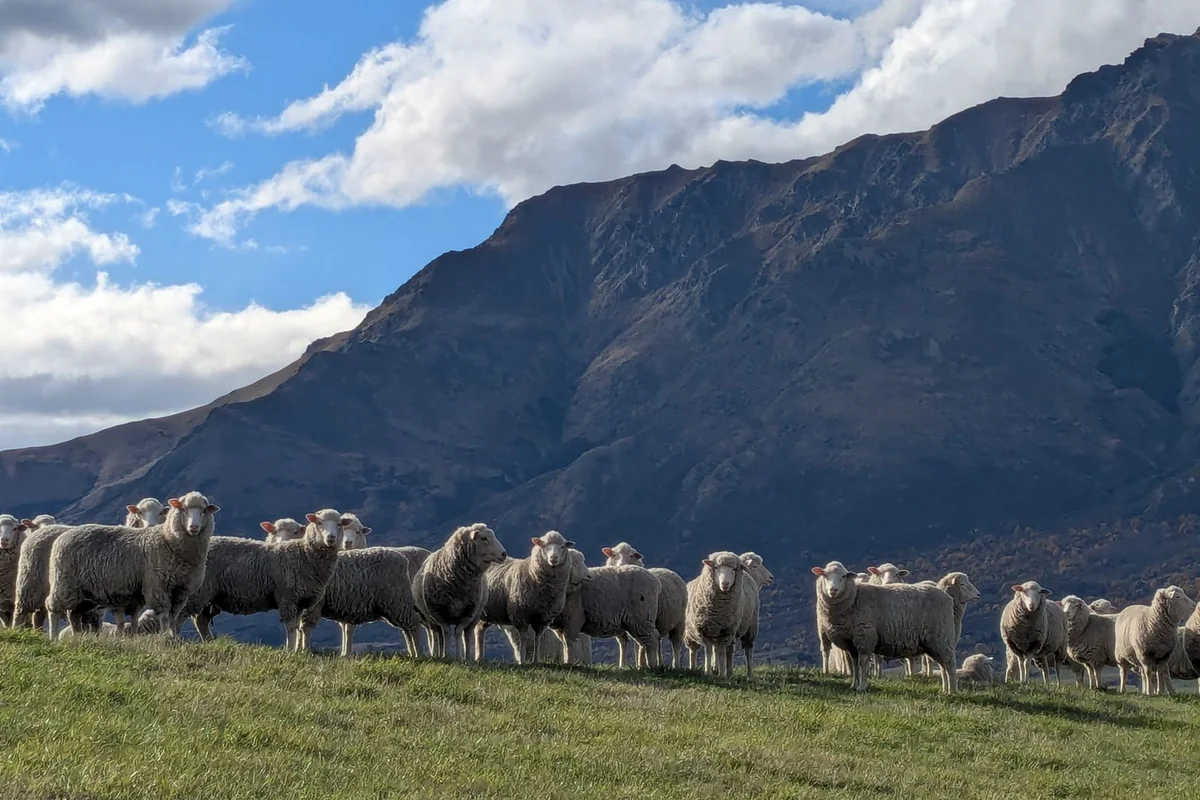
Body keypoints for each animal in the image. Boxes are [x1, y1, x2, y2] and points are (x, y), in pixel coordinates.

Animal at [45, 492, 220, 639]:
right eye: (183, 509)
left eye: (204, 510)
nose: (194, 527)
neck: (168, 540)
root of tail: (65, 534)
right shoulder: (157, 586)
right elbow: (163, 616)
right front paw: (165, 637)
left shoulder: (181, 590)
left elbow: (173, 617)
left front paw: (174, 637)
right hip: (63, 583)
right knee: (52, 608)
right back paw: (53, 638)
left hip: (85, 595)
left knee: (74, 614)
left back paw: (76, 637)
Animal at [181, 510, 345, 651]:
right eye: (319, 523)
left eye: (339, 524)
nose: (331, 537)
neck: (302, 553)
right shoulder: (287, 597)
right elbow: (291, 627)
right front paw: (290, 651)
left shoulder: (299, 601)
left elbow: (297, 627)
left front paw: (297, 651)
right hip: (200, 590)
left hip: (208, 595)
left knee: (201, 620)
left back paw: (209, 642)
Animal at [411, 523, 508, 661]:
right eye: (484, 538)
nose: (504, 553)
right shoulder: (440, 612)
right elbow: (446, 632)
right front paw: (447, 655)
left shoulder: (467, 612)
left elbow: (458, 633)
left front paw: (458, 656)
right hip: (431, 618)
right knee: (438, 635)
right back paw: (438, 654)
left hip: (475, 615)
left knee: (467, 634)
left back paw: (468, 658)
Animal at [473, 531, 575, 664]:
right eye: (543, 545)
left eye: (562, 547)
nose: (553, 558)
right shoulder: (521, 615)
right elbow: (524, 638)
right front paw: (522, 660)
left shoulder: (543, 619)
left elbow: (538, 638)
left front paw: (536, 660)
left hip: (486, 612)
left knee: (479, 629)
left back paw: (479, 657)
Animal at [812, 560, 958, 693]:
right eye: (825, 575)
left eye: (843, 576)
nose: (833, 590)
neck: (854, 598)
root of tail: (947, 598)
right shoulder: (851, 644)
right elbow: (855, 665)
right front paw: (854, 685)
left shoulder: (865, 637)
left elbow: (863, 664)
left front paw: (862, 687)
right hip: (934, 642)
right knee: (943, 665)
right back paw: (945, 690)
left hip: (941, 636)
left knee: (949, 664)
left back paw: (952, 691)